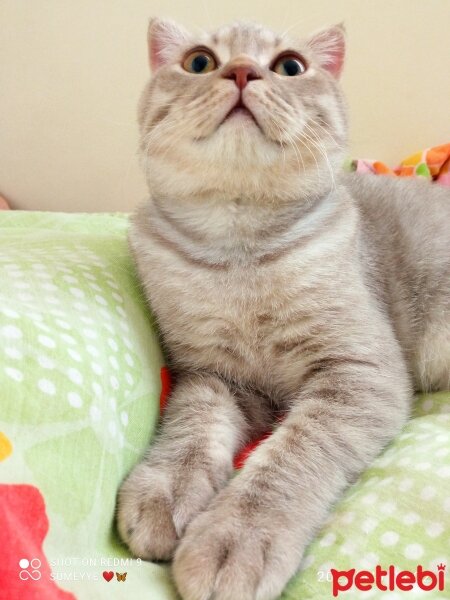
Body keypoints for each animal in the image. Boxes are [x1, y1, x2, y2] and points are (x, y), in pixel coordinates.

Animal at [117, 17, 450, 600]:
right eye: (199, 62)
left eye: (291, 66)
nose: (241, 70)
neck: (241, 253)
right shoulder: (213, 375)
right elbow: (191, 427)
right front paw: (168, 490)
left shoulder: (359, 373)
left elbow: (289, 458)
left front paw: (237, 538)